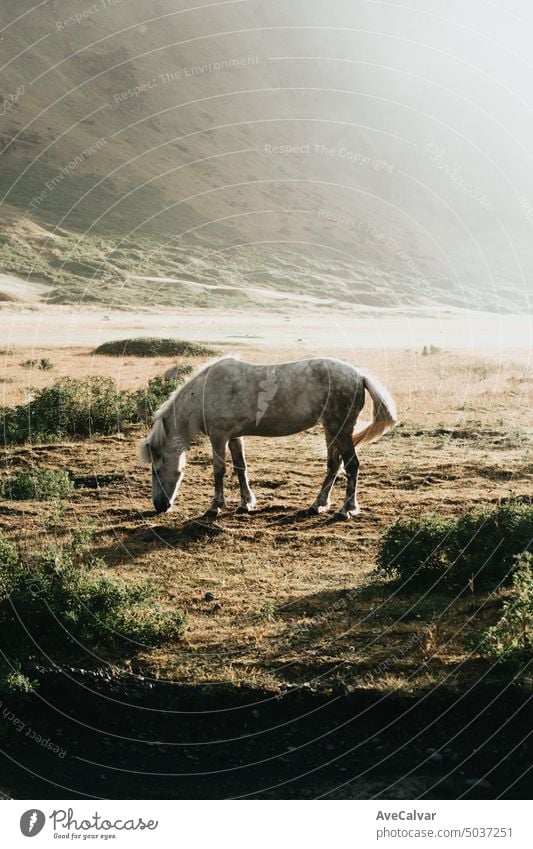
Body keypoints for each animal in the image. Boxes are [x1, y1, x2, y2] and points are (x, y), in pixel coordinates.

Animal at [139, 356, 396, 520]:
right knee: (334, 465)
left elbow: (219, 470)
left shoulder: (218, 437)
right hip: (331, 430)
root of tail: (359, 375)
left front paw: (215, 507)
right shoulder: (234, 437)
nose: (159, 506)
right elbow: (240, 468)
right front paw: (246, 503)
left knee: (351, 465)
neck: (203, 393)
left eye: (156, 470)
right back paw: (317, 505)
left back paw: (346, 510)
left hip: (340, 430)